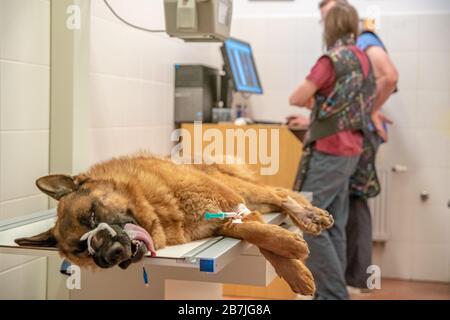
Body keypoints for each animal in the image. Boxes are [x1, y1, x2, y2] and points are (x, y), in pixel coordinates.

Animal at [14, 154, 330, 296]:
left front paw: (293, 258)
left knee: (280, 195)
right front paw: (291, 257)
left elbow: (263, 235)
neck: (155, 205)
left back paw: (310, 215)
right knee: (278, 198)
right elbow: (254, 233)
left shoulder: (229, 201)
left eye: (92, 216)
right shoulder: (223, 221)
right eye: (82, 249)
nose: (109, 257)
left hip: (244, 190)